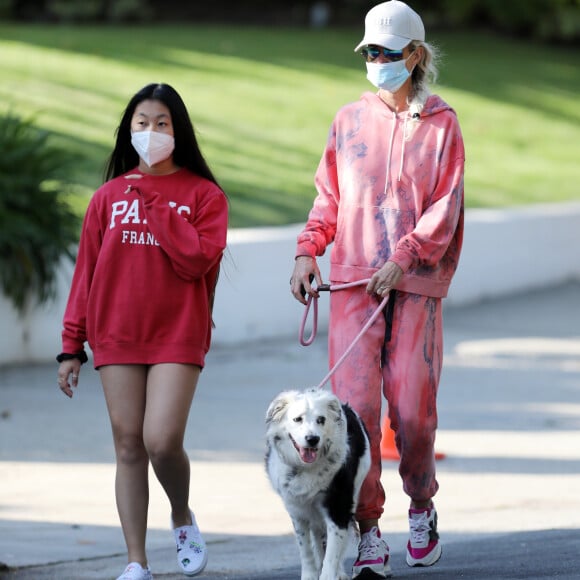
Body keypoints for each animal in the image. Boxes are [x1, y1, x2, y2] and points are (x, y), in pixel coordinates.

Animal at [266, 390, 370, 580]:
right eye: (297, 419)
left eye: (321, 419)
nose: (312, 439)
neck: (306, 467)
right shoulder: (297, 510)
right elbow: (306, 549)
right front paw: (309, 575)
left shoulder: (338, 506)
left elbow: (333, 550)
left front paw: (329, 574)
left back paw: (340, 572)